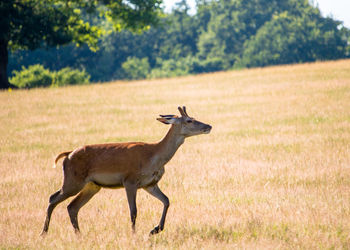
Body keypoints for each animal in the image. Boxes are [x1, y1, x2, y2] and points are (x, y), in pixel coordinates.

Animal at [41, 106, 211, 235]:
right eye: (189, 120)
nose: (208, 126)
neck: (153, 156)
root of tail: (67, 155)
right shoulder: (129, 180)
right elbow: (133, 211)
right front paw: (134, 233)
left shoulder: (149, 184)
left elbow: (167, 200)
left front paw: (155, 229)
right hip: (73, 180)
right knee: (52, 198)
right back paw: (44, 232)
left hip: (92, 186)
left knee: (72, 206)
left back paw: (78, 234)